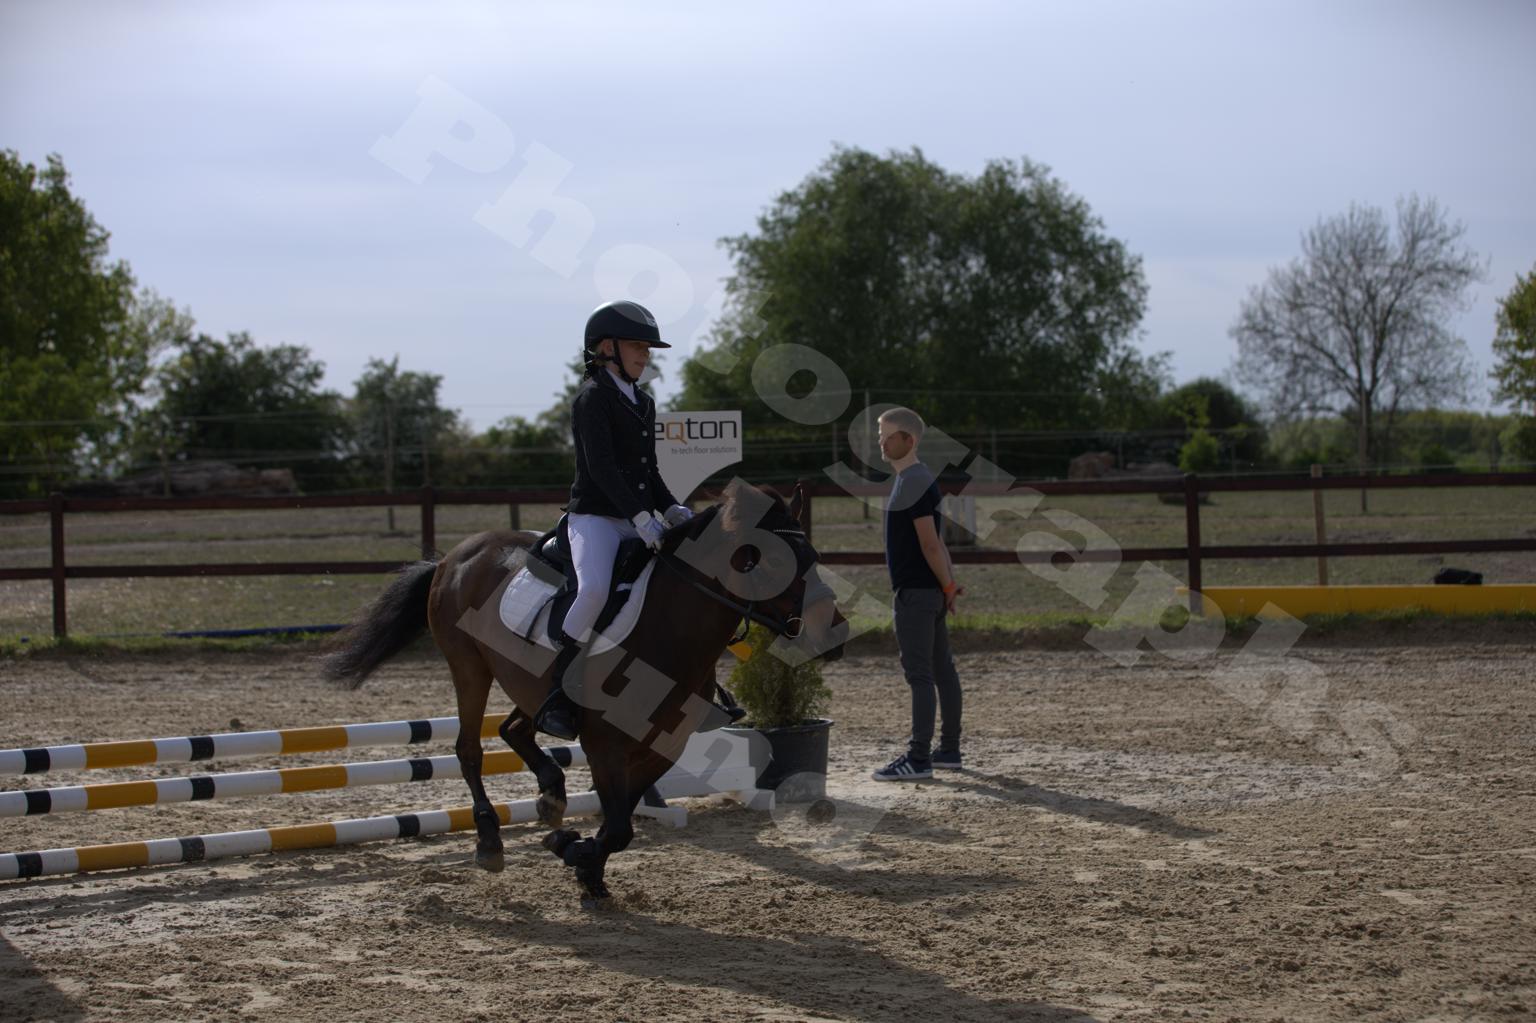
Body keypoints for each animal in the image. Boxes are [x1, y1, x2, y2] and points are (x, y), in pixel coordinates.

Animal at [321, 481, 845, 900]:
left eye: (815, 558)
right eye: (770, 561)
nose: (832, 634)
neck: (669, 631)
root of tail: (454, 555)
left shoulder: (662, 746)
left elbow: (620, 825)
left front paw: (580, 861)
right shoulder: (605, 744)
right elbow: (618, 826)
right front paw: (573, 853)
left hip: (526, 683)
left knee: (515, 728)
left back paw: (551, 796)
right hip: (469, 666)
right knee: (469, 749)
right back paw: (489, 840)